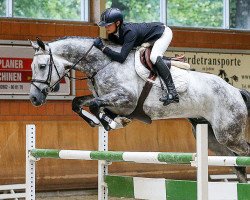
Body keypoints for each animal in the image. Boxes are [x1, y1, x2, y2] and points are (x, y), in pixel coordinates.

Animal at [28, 37, 250, 183]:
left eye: (42, 66)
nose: (34, 99)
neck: (102, 64)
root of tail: (235, 91)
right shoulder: (108, 99)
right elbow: (79, 102)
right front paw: (98, 121)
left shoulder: (126, 99)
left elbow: (94, 105)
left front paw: (112, 122)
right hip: (213, 138)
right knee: (236, 163)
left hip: (228, 133)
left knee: (244, 152)